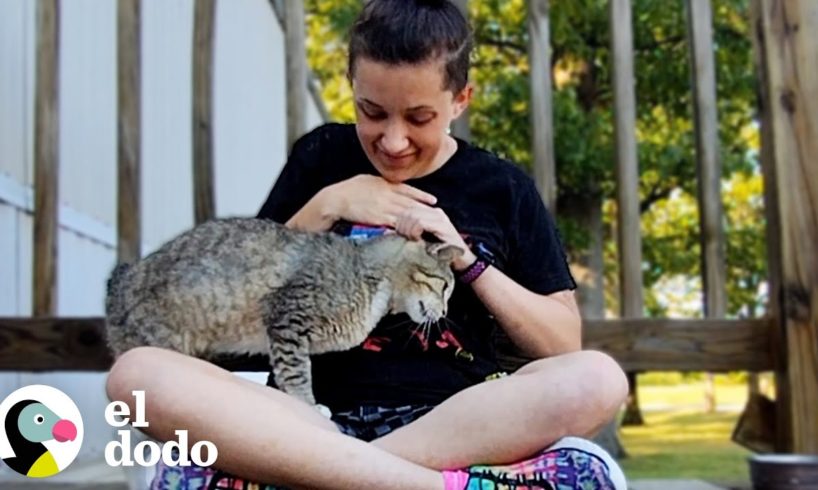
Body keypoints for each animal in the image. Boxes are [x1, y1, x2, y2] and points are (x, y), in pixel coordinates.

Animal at [103, 218, 460, 406]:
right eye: (444, 286)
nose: (444, 312)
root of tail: (120, 279)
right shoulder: (288, 317)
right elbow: (295, 371)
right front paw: (309, 406)